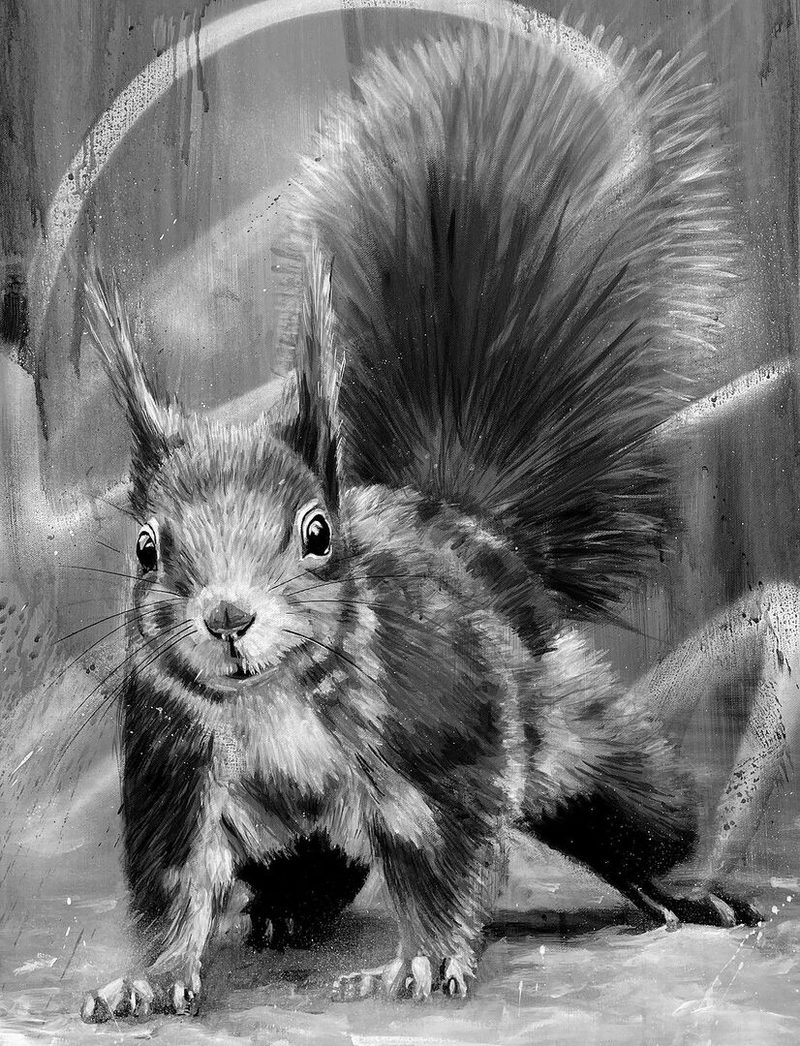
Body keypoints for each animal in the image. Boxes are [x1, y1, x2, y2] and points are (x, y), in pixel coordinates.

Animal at [78, 23, 759, 1023]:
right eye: (144, 546)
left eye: (317, 533)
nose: (229, 617)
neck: (271, 697)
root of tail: (470, 524)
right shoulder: (176, 764)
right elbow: (176, 880)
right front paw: (151, 977)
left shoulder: (442, 730)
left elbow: (445, 853)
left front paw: (428, 960)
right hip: (293, 830)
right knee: (314, 864)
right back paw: (288, 914)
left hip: (572, 735)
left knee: (633, 808)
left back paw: (678, 885)